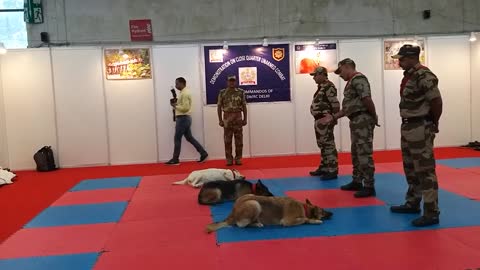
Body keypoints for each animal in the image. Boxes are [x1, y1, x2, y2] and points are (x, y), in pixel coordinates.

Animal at [206, 194, 334, 232]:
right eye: (323, 211)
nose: (332, 213)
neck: (304, 208)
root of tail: (233, 211)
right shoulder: (287, 221)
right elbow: (304, 219)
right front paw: (315, 220)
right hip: (255, 204)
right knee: (241, 225)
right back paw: (256, 224)